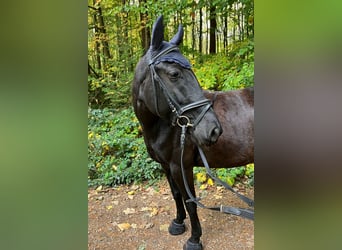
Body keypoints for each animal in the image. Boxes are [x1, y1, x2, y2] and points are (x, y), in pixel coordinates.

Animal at [132, 15, 252, 250]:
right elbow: (176, 195)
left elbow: (191, 202)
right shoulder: (167, 166)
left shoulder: (182, 167)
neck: (164, 127)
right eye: (174, 74)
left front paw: (194, 238)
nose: (214, 130)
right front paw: (178, 223)